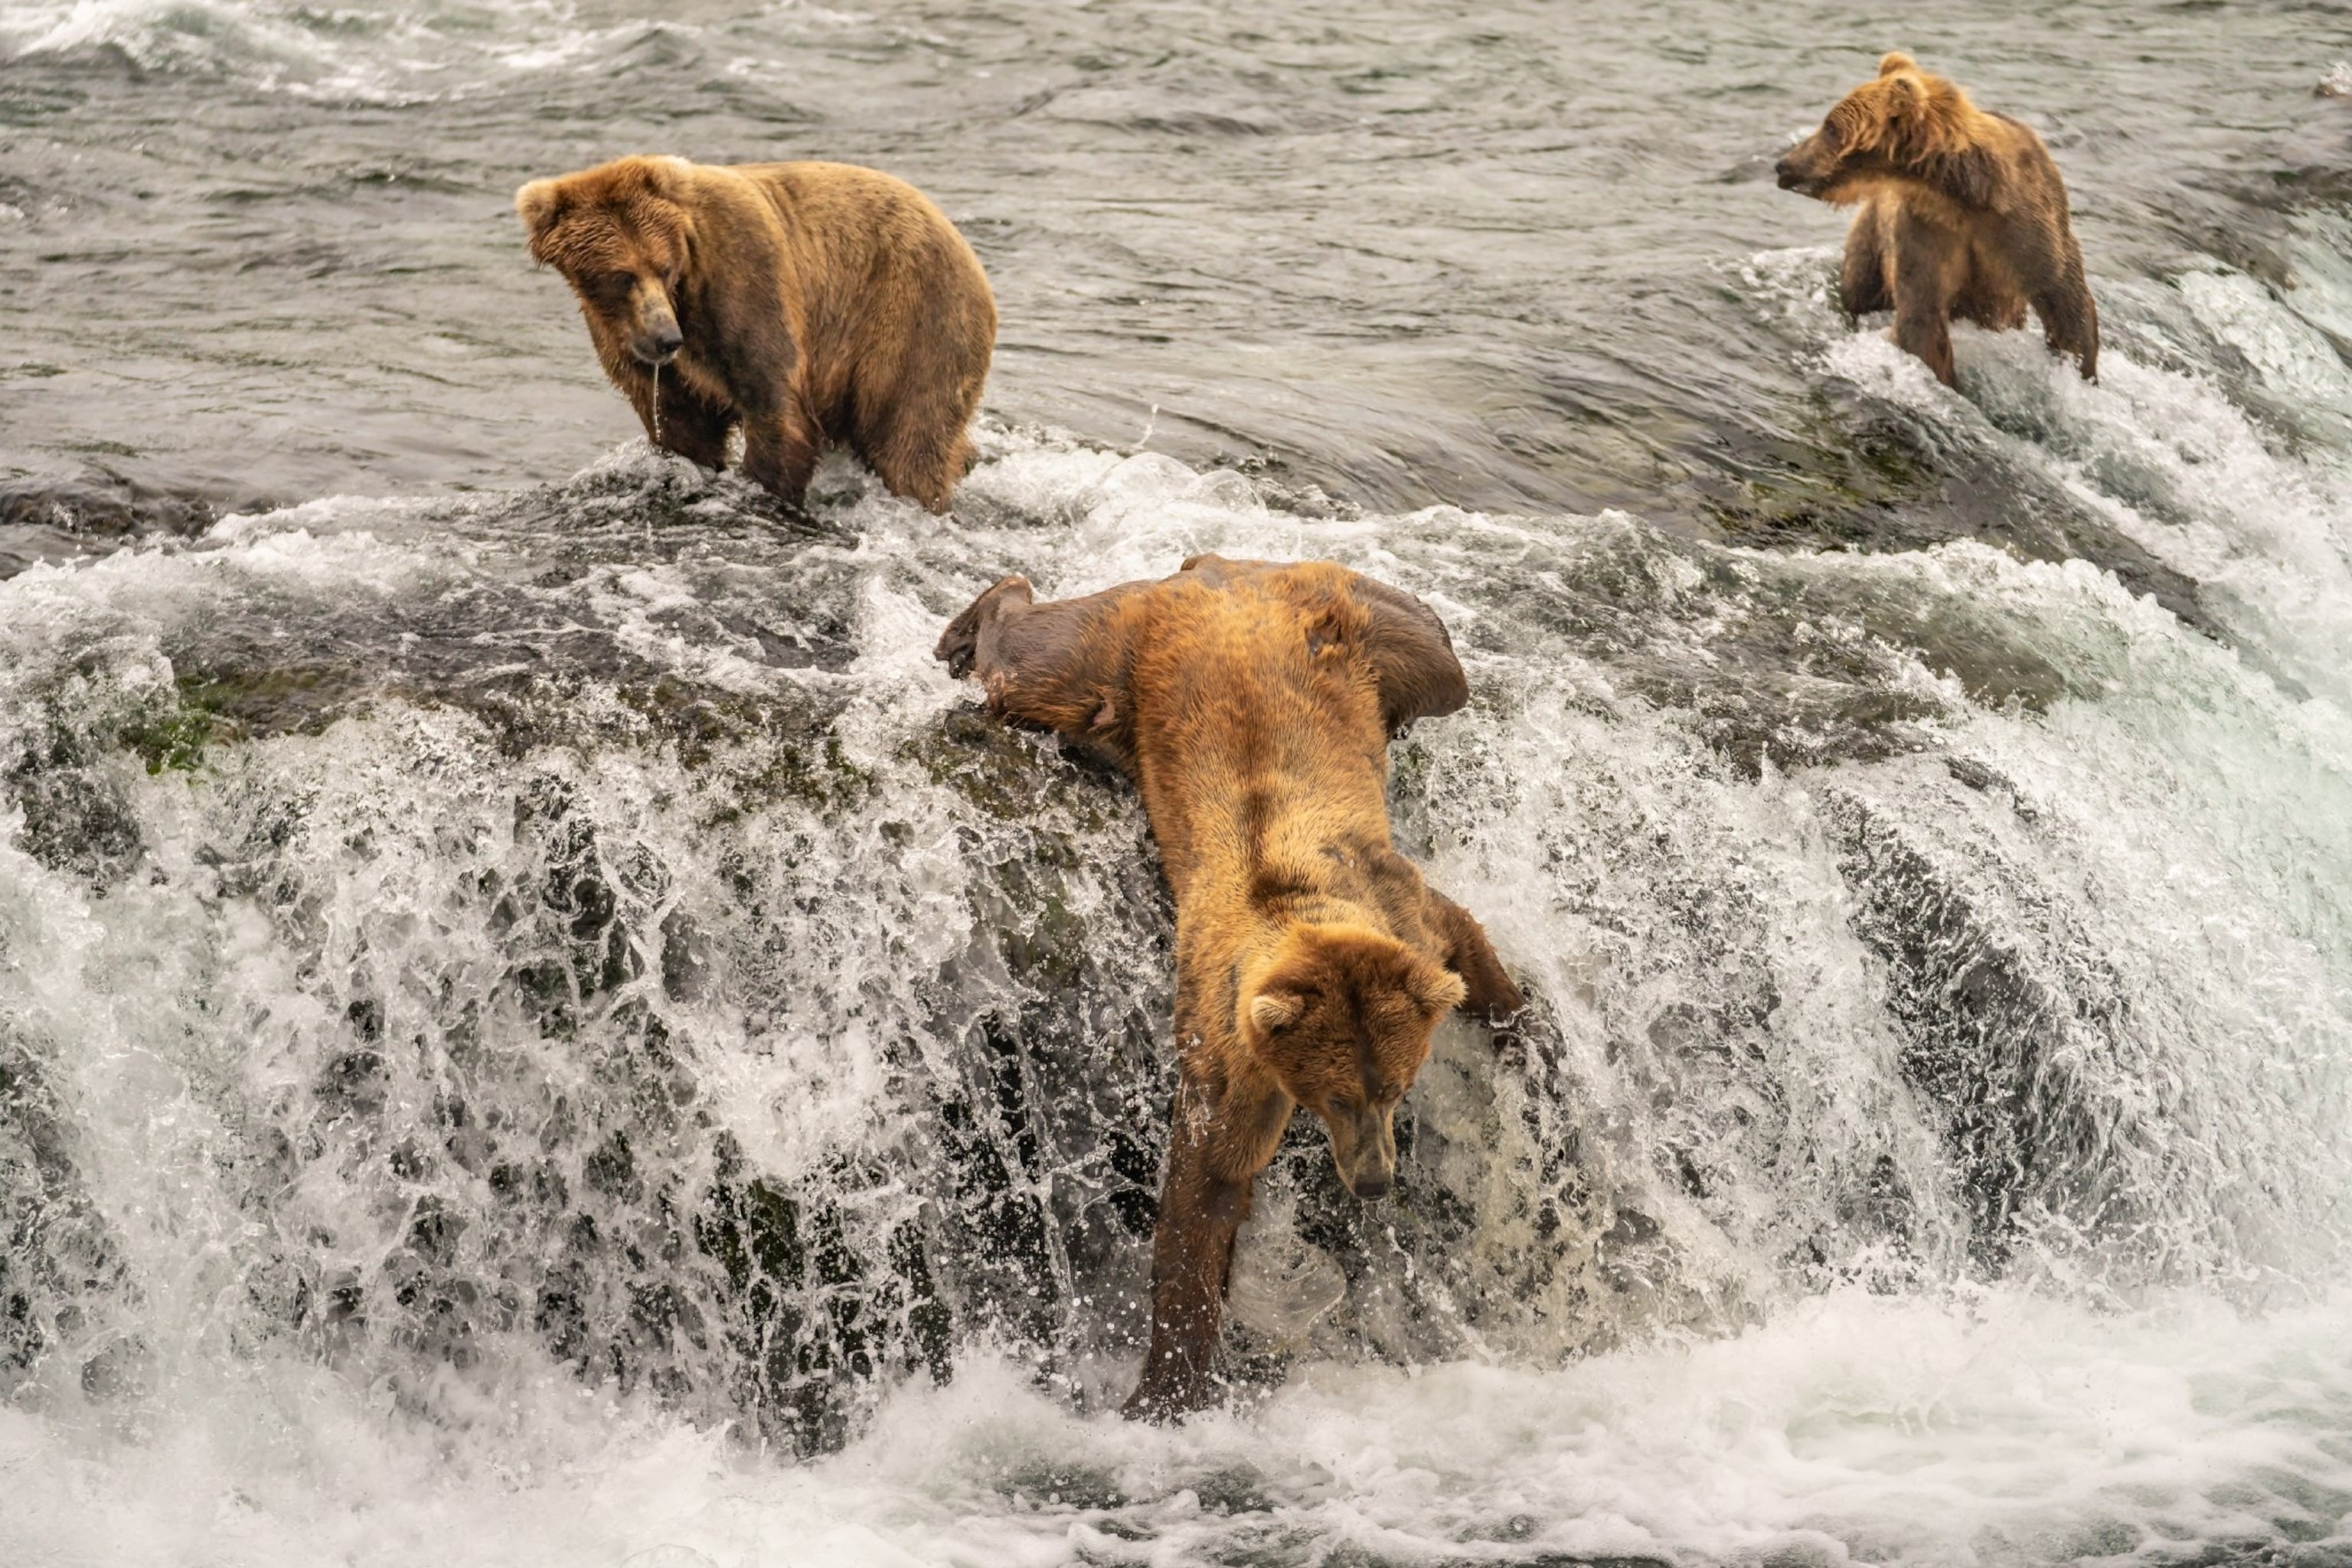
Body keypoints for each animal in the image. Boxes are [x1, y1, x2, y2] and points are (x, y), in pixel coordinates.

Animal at [516, 156, 996, 512]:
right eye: (620, 276)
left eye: (663, 266)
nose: (666, 339)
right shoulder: (630, 343)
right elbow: (681, 424)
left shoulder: (742, 280)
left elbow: (775, 405)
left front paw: (766, 486)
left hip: (913, 318)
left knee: (909, 439)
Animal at [934, 554, 1524, 1420]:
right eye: (1337, 1094)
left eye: (1396, 1086)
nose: (1375, 1180)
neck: (1298, 903)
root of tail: (1214, 575)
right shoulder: (1231, 1041)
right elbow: (1208, 1182)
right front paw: (1165, 1384)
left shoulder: (1405, 914)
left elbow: (1469, 950)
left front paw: (1524, 1030)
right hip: (1121, 660)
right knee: (1036, 669)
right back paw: (974, 621)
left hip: (1357, 625)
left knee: (1443, 664)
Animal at [1776, 53, 2097, 388]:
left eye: (1831, 127)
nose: (1784, 164)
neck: (1962, 194)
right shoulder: (1924, 231)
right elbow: (1922, 315)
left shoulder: (2023, 225)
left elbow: (2065, 297)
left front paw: (2078, 371)